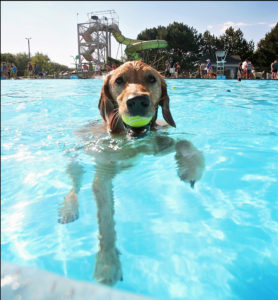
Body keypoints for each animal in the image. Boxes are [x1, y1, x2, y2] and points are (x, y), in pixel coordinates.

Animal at [58, 60, 205, 286]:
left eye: (151, 79)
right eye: (119, 80)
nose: (137, 101)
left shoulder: (157, 141)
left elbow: (182, 141)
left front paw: (191, 165)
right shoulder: (103, 174)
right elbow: (106, 223)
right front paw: (107, 262)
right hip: (74, 158)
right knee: (75, 183)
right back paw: (68, 208)